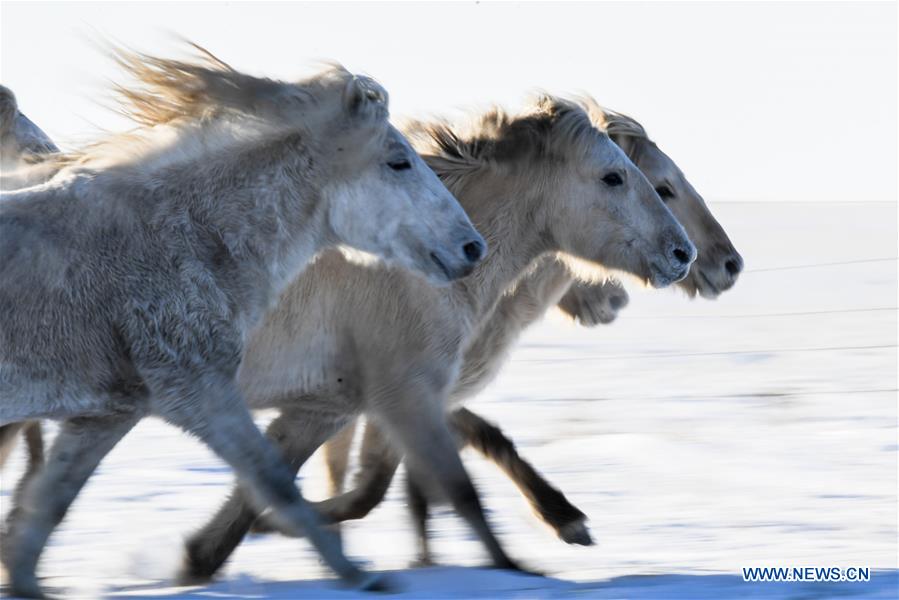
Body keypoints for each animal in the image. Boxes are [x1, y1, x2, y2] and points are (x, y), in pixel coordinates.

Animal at [0, 43, 485, 597]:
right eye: (398, 162)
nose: (473, 248)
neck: (182, 239)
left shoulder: (105, 416)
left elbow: (47, 506)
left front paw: (25, 582)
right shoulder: (201, 392)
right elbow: (274, 481)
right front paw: (361, 576)